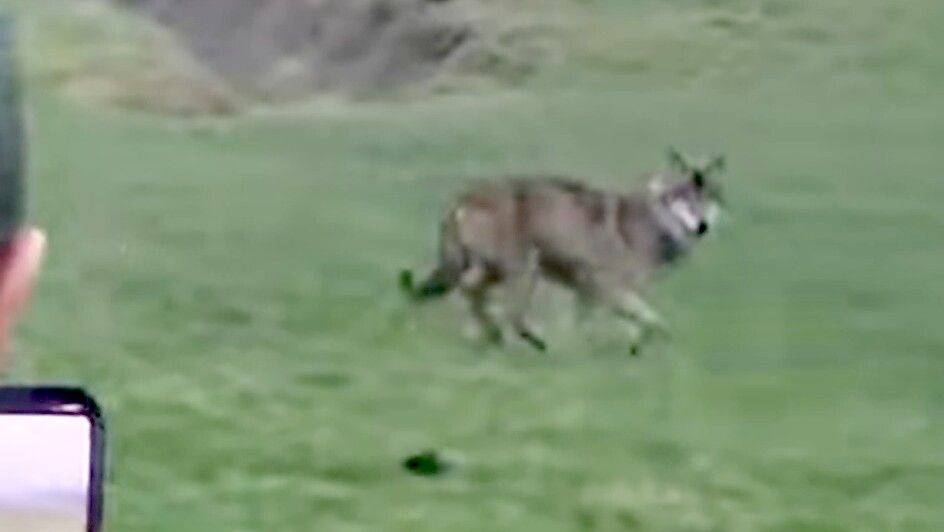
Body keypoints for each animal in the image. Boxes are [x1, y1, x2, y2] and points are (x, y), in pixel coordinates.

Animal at [400, 148, 725, 354]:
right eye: (683, 198)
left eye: (707, 198)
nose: (702, 226)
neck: (649, 223)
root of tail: (463, 198)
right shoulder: (607, 287)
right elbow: (653, 322)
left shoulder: (590, 291)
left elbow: (621, 323)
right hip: (523, 269)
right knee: (506, 311)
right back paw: (532, 344)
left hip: (492, 270)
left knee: (475, 295)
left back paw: (494, 337)